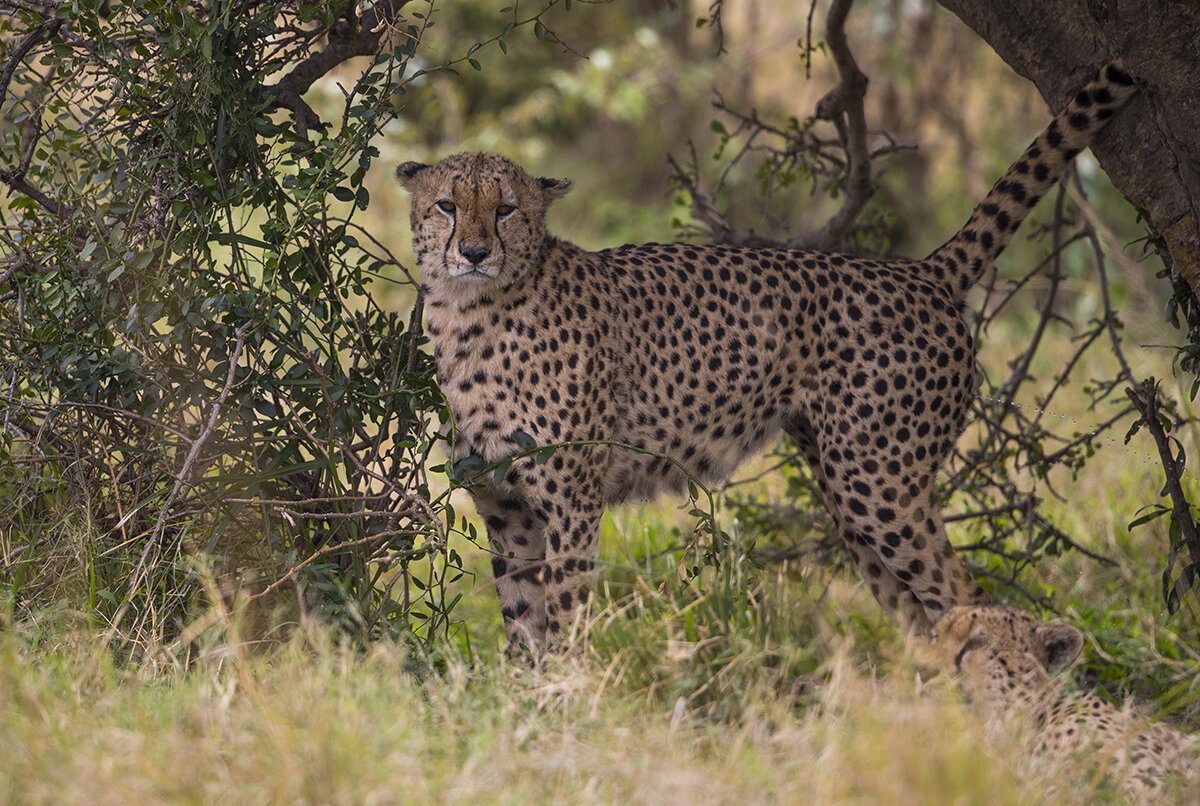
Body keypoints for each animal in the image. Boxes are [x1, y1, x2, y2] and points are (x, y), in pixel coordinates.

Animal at [398, 59, 1137, 652]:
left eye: (506, 210)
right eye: (447, 205)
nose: (474, 251)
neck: (472, 314)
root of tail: (919, 272)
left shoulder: (571, 503)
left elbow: (565, 615)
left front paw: (568, 700)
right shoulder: (508, 509)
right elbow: (523, 624)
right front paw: (524, 707)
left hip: (880, 483)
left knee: (962, 594)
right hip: (849, 490)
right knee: (917, 612)